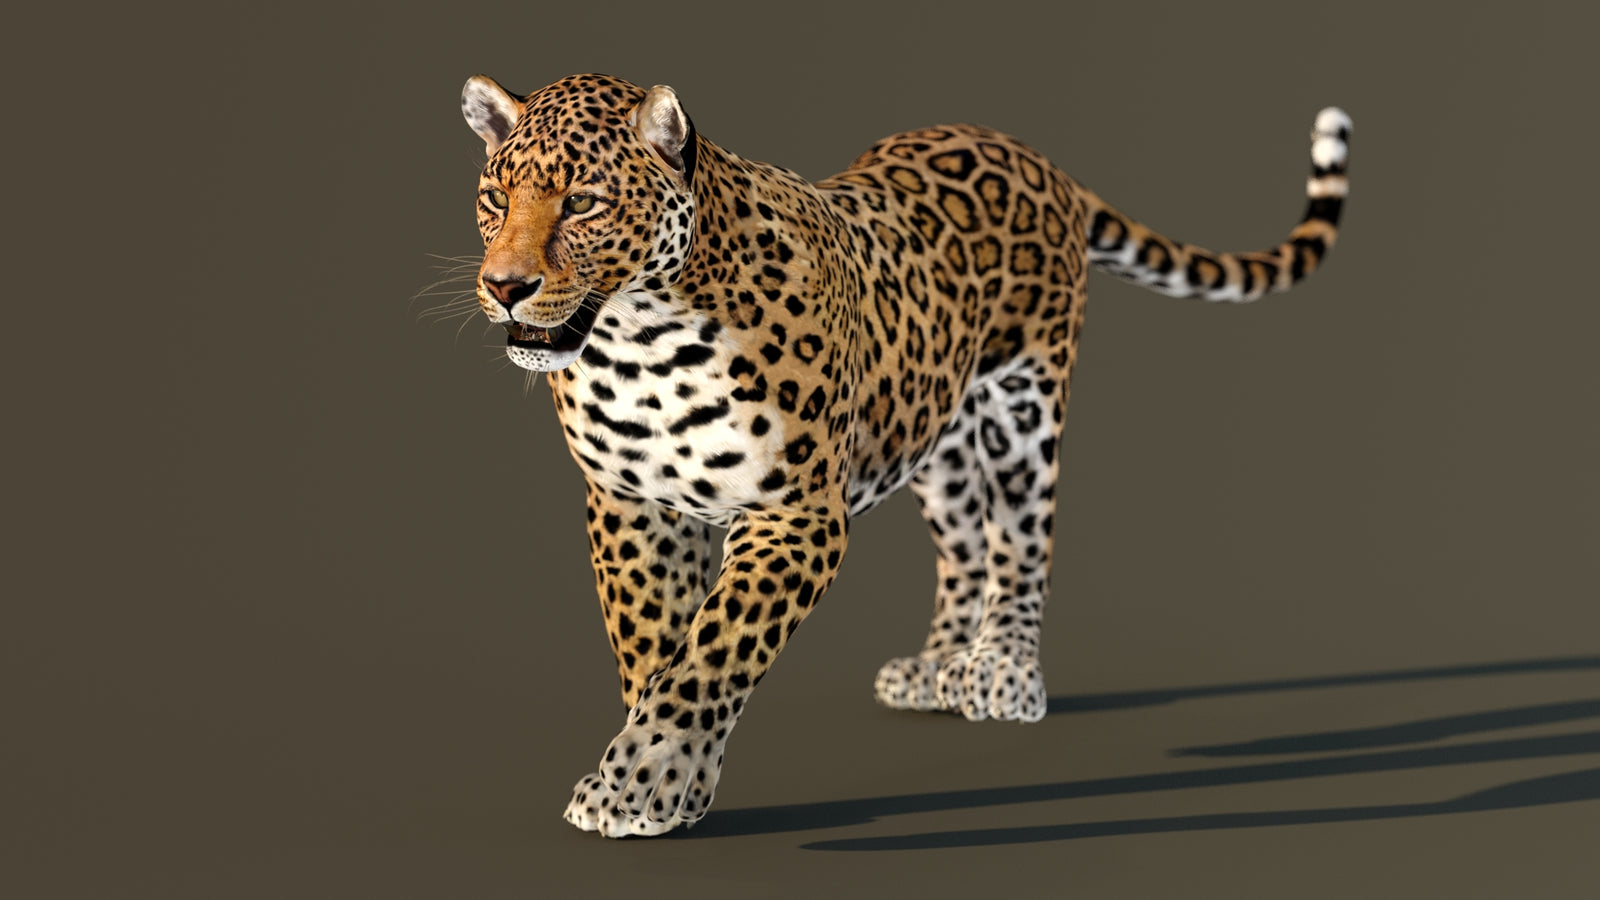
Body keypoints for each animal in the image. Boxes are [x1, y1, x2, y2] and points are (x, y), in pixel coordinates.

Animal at [452, 72, 1351, 838]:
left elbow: (714, 648)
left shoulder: (794, 513)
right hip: (933, 435)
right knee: (962, 548)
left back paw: (1001, 672)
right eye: (495, 198)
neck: (639, 343)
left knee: (1020, 541)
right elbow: (653, 648)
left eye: (583, 202)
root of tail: (1027, 150)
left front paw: (640, 783)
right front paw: (670, 785)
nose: (505, 287)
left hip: (1025, 404)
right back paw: (937, 668)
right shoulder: (634, 507)